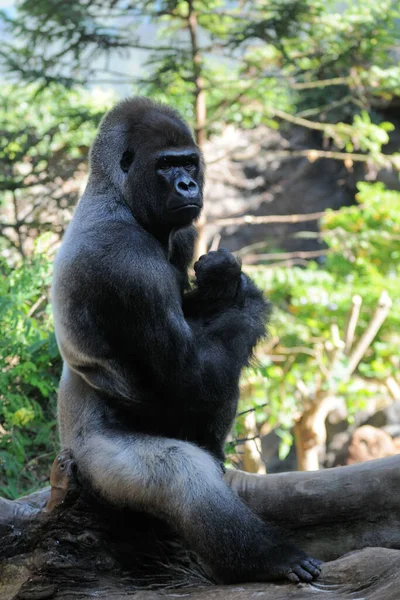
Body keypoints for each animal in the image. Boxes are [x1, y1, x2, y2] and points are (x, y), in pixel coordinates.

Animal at [52, 96, 322, 584]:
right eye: (165, 165)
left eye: (189, 162)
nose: (186, 184)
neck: (114, 195)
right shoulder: (129, 264)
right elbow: (191, 375)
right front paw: (245, 293)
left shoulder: (181, 233)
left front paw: (224, 278)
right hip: (93, 463)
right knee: (184, 476)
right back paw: (268, 557)